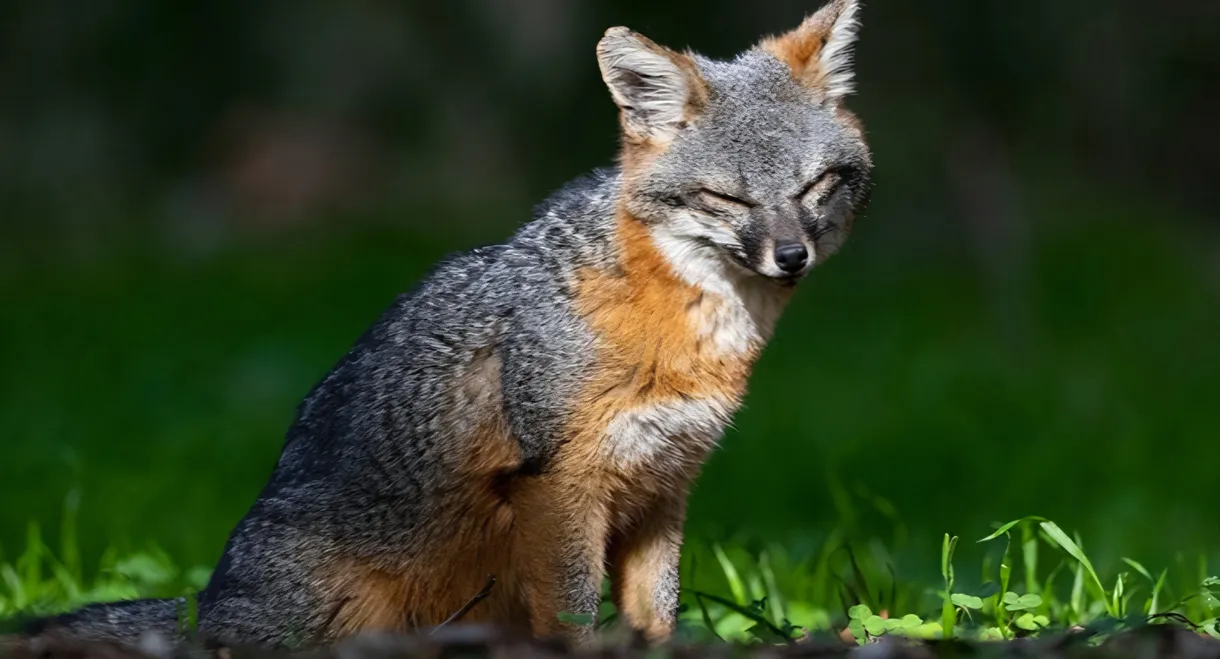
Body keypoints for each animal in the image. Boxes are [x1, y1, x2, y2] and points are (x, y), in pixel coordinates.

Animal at [23, 0, 872, 650]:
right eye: (728, 198)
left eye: (816, 185)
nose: (791, 256)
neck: (686, 327)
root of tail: (211, 604)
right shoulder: (562, 480)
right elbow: (575, 615)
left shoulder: (664, 485)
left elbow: (655, 617)